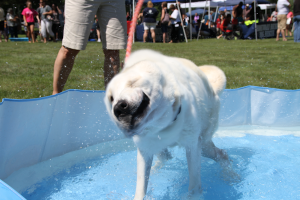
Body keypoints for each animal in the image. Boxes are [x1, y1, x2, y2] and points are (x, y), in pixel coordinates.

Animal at [105, 49, 232, 199]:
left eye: (133, 82)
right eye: (111, 98)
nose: (118, 108)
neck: (163, 124)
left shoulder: (193, 145)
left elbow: (194, 185)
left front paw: (193, 196)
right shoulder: (145, 149)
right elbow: (141, 187)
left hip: (205, 142)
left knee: (222, 154)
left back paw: (231, 176)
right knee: (165, 156)